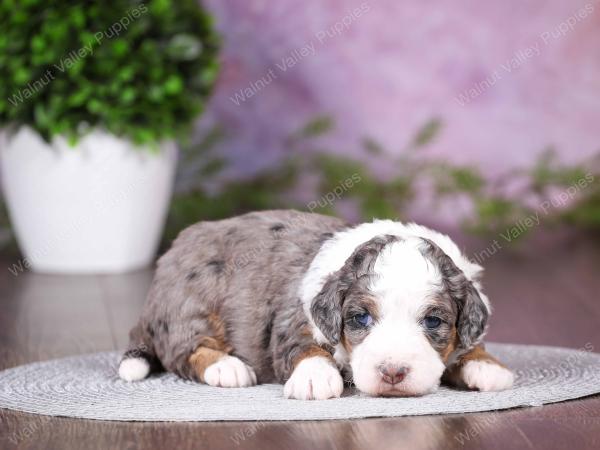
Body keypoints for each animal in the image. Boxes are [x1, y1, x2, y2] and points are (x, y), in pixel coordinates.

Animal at [119, 209, 512, 400]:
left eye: (432, 322)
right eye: (360, 318)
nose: (393, 374)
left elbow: (471, 346)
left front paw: (488, 366)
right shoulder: (294, 317)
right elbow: (304, 346)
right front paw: (315, 378)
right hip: (192, 301)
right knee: (186, 348)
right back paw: (227, 368)